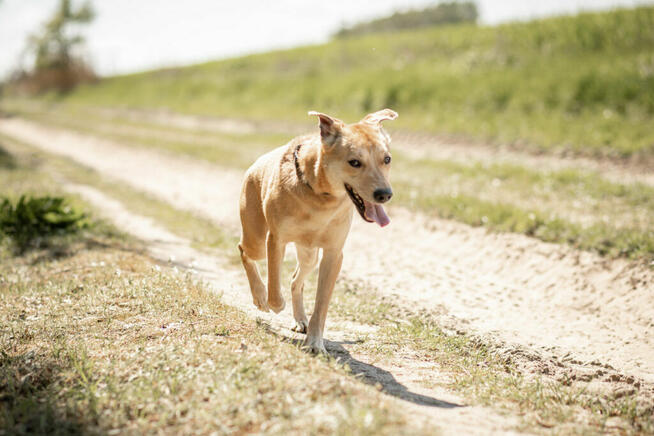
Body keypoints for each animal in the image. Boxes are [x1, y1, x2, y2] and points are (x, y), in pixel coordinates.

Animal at [238, 109, 398, 354]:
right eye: (354, 162)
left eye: (386, 159)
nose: (384, 194)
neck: (320, 196)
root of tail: (257, 163)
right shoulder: (276, 240)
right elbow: (274, 285)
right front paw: (272, 302)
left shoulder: (333, 254)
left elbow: (322, 304)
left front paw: (314, 342)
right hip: (256, 238)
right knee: (245, 251)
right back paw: (259, 296)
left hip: (309, 255)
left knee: (296, 280)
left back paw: (300, 319)